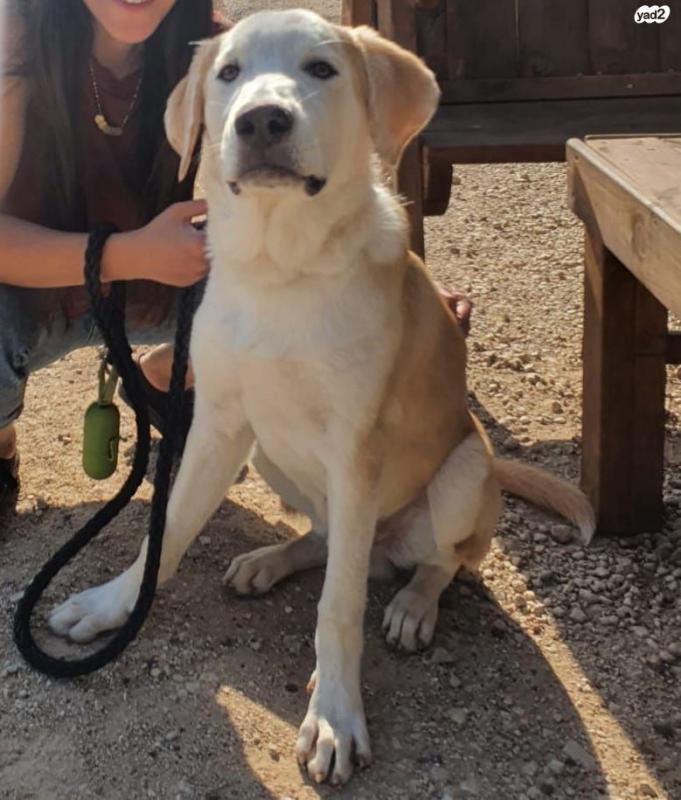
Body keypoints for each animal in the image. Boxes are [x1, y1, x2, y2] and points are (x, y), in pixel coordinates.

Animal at [49, 10, 595, 785]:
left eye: (321, 70)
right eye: (229, 73)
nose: (261, 120)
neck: (282, 269)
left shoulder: (355, 451)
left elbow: (338, 608)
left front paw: (335, 715)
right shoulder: (218, 427)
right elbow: (168, 530)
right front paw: (113, 606)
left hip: (463, 472)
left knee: (439, 560)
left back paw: (411, 606)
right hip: (270, 455)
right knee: (331, 537)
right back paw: (271, 561)